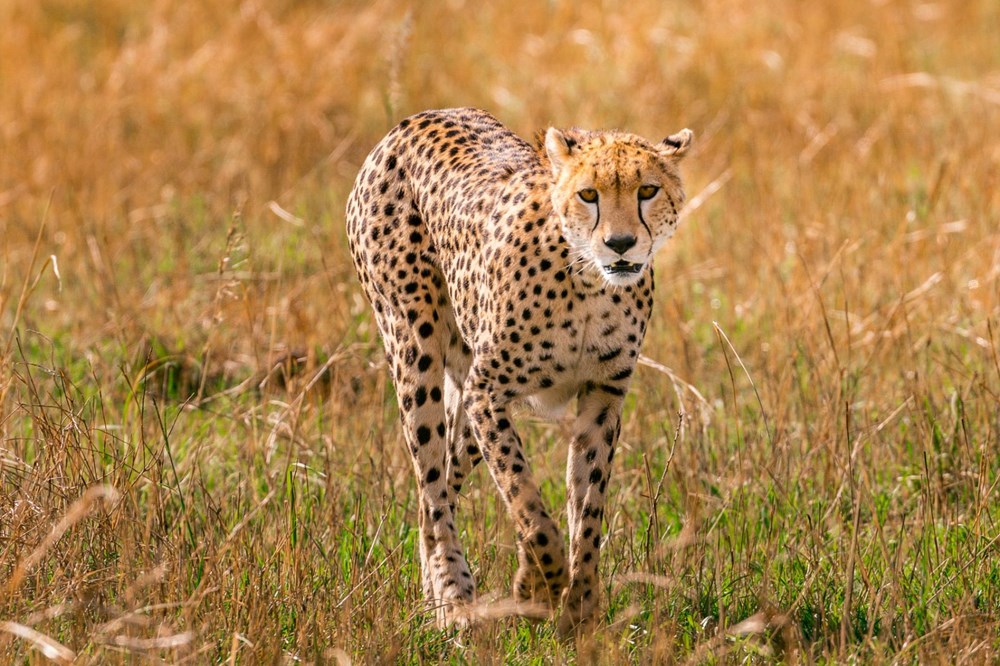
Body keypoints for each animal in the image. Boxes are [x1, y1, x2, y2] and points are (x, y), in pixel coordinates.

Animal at [348, 107, 692, 632]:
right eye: (588, 194)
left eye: (647, 190)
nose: (620, 244)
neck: (589, 282)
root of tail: (418, 117)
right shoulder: (488, 391)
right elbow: (526, 498)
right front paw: (541, 587)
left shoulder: (601, 398)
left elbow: (586, 510)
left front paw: (580, 610)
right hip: (415, 350)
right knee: (432, 488)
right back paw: (452, 600)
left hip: (463, 385)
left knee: (445, 479)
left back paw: (437, 591)